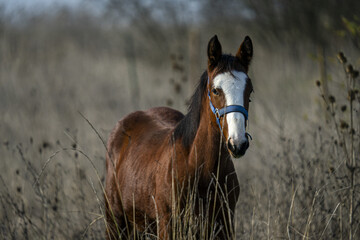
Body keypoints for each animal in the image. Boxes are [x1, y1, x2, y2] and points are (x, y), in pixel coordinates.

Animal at [105, 34, 255, 239]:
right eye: (215, 90)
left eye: (250, 90)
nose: (238, 143)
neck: (200, 169)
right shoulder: (168, 226)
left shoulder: (225, 226)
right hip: (116, 224)